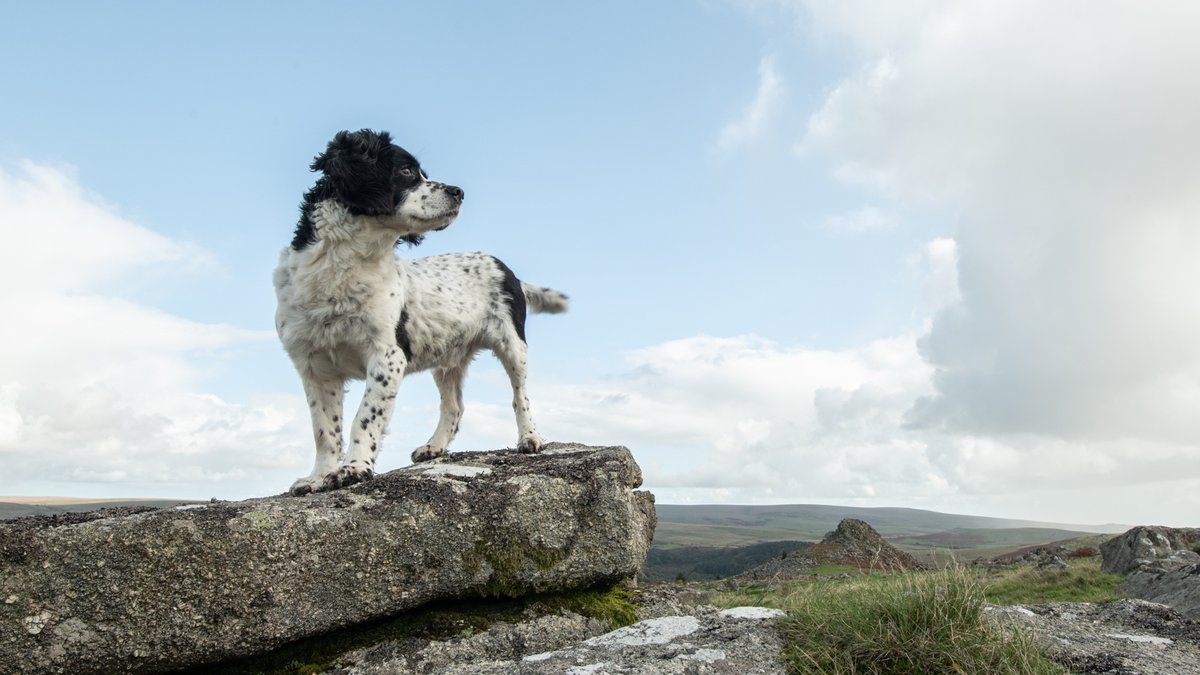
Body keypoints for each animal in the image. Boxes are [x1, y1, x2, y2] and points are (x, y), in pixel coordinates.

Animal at [274, 128, 568, 494]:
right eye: (406, 171)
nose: (459, 192)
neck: (341, 267)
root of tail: (506, 269)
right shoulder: (314, 366)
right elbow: (324, 430)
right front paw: (318, 477)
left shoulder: (387, 357)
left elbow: (363, 418)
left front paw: (354, 469)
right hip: (448, 359)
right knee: (454, 407)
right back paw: (434, 446)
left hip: (513, 346)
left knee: (520, 397)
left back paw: (530, 438)